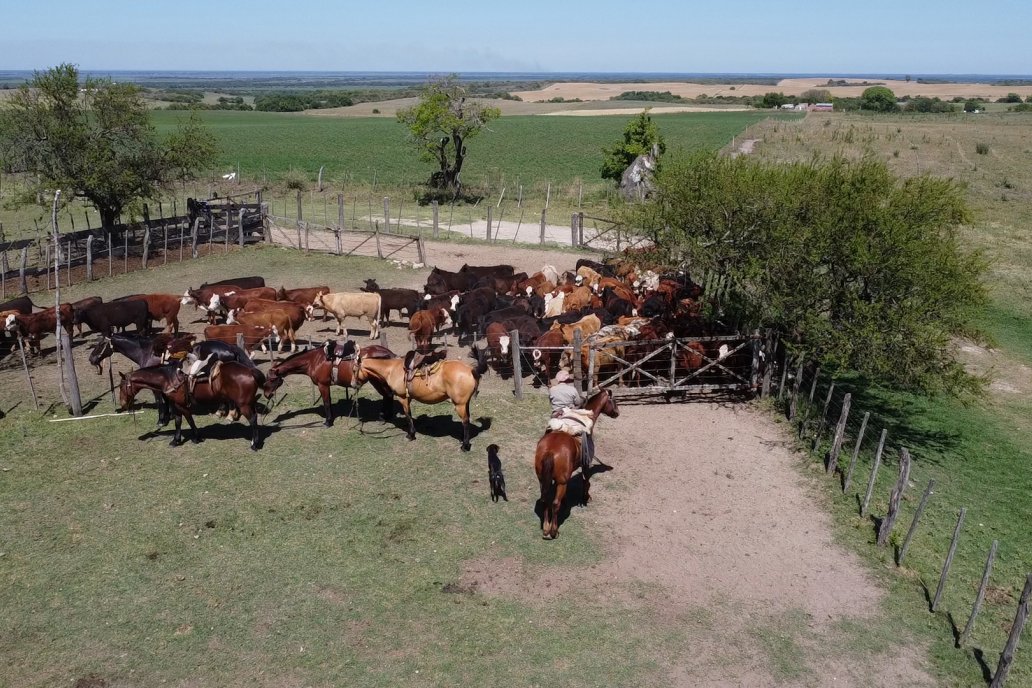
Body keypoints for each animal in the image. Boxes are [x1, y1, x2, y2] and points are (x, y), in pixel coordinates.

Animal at [117, 361, 266, 451]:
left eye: (122, 386)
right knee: (255, 418)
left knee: (253, 420)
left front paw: (196, 437)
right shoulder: (175, 405)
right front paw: (176, 440)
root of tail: (250, 371)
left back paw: (254, 444)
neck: (168, 378)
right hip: (249, 403)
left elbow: (189, 420)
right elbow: (178, 421)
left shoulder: (182, 405)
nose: (122, 404)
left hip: (244, 405)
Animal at [262, 342, 398, 424]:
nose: (267, 395)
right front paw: (331, 418)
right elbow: (329, 401)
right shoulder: (326, 385)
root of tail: (389, 353)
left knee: (388, 395)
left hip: (377, 381)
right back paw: (385, 416)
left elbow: (326, 402)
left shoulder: (322, 385)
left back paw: (384, 416)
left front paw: (328, 421)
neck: (313, 360)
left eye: (272, 379)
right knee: (388, 395)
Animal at [350, 346, 487, 449]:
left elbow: (408, 416)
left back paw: (465, 446)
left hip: (459, 405)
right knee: (466, 419)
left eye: (353, 370)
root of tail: (471, 370)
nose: (352, 384)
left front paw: (411, 435)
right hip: (465, 403)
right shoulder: (408, 398)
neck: (391, 370)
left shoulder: (403, 398)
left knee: (465, 422)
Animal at [536, 389, 615, 540]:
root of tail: (550, 451)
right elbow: (586, 481)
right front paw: (586, 498)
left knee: (546, 500)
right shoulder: (586, 464)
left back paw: (546, 529)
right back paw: (553, 531)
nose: (617, 412)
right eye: (614, 401)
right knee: (555, 503)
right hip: (561, 482)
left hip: (543, 479)